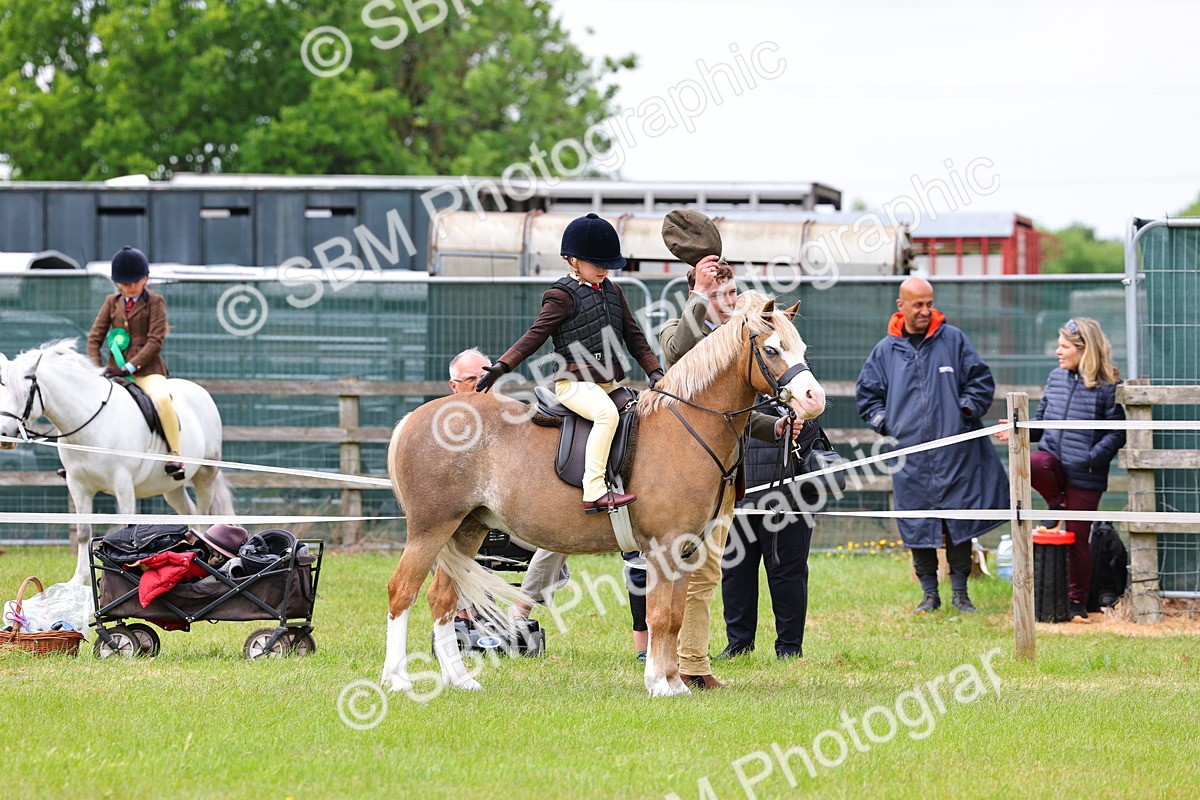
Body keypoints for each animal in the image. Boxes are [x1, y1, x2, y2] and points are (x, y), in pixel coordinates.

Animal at [0, 340, 233, 584]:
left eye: (24, 393)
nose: (4, 434)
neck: (90, 422)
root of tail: (200, 390)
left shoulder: (123, 483)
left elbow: (126, 526)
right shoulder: (77, 485)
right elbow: (83, 531)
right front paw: (79, 579)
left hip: (205, 475)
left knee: (204, 516)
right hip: (171, 487)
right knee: (189, 512)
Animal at [382, 295, 826, 697]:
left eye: (803, 349)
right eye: (771, 349)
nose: (814, 399)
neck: (685, 425)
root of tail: (417, 417)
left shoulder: (687, 550)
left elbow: (675, 616)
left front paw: (673, 683)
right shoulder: (663, 548)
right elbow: (659, 616)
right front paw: (661, 685)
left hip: (466, 529)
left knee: (441, 599)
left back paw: (460, 680)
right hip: (430, 529)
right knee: (401, 592)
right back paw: (397, 681)